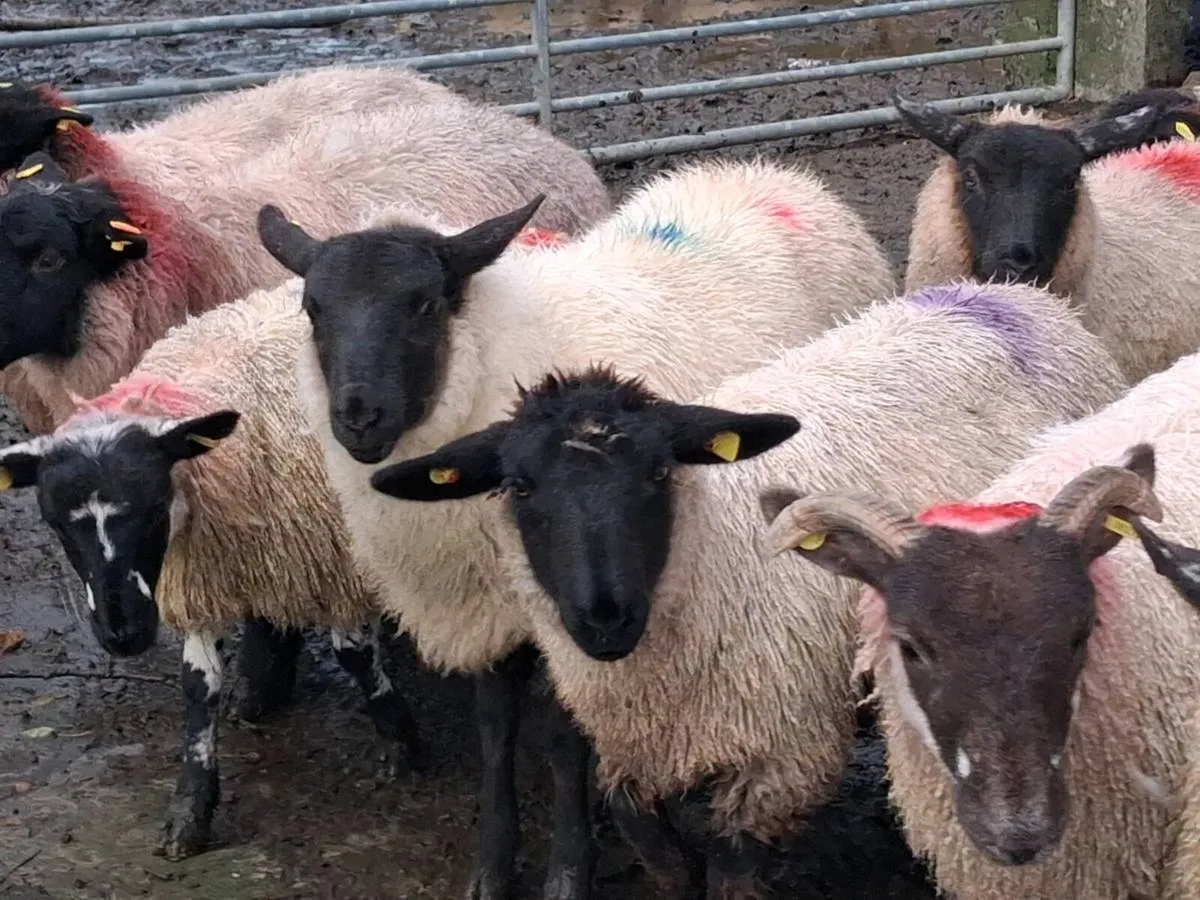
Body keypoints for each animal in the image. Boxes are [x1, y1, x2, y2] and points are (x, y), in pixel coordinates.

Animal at [0, 276, 423, 861]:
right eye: (56, 523)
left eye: (153, 507)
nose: (123, 635)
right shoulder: (204, 576)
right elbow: (197, 687)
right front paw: (191, 809)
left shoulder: (340, 558)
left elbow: (354, 654)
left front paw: (402, 742)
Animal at [261, 157, 898, 900]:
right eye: (314, 308)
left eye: (424, 304)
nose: (359, 417)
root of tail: (771, 172)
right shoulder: (496, 605)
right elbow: (495, 729)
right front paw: (492, 865)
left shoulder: (568, 607)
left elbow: (564, 741)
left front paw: (569, 868)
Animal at [367, 280, 1128, 898]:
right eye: (520, 487)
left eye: (659, 474)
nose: (605, 617)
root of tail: (1011, 296)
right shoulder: (632, 752)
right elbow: (664, 861)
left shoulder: (777, 758)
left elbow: (731, 874)